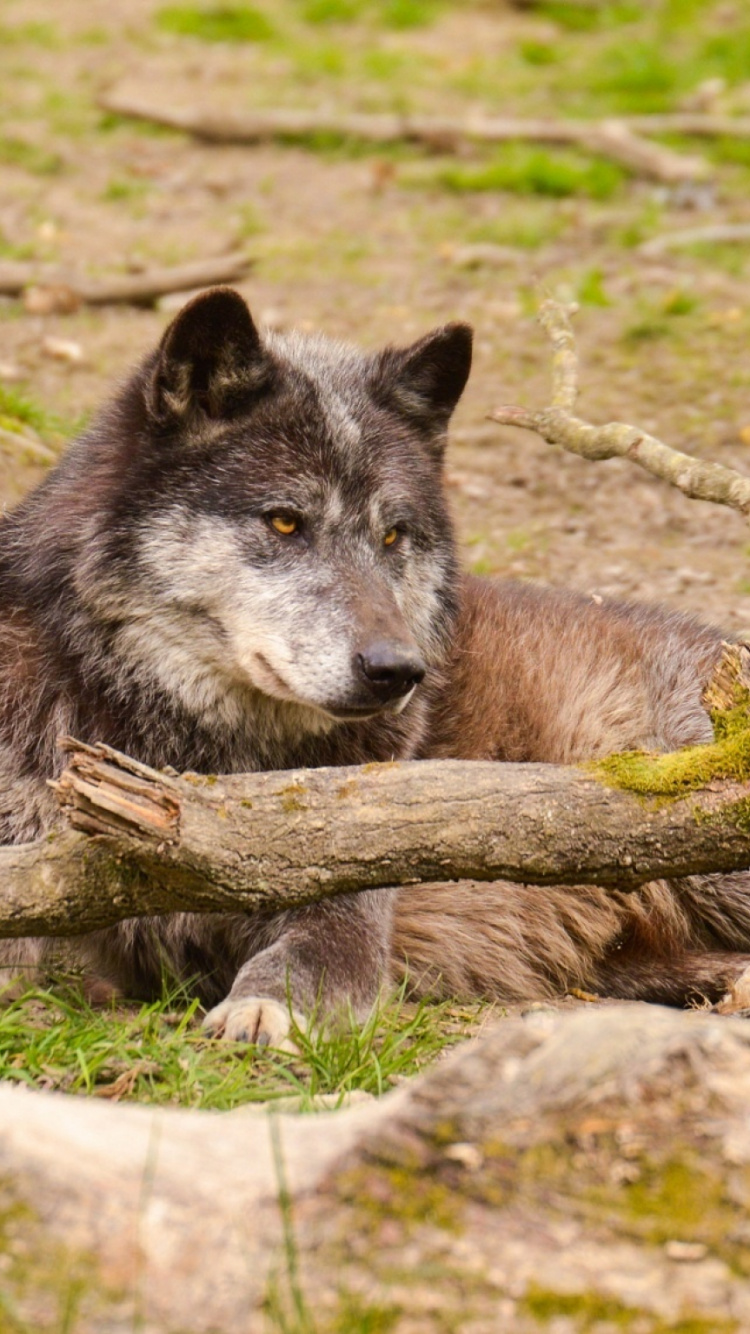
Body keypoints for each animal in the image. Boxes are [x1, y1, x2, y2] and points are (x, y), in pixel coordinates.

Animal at [0, 286, 748, 1043]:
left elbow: (308, 955)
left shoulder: (346, 897)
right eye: (284, 521)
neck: (197, 756)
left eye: (393, 535)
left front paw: (263, 1011)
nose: (397, 670)